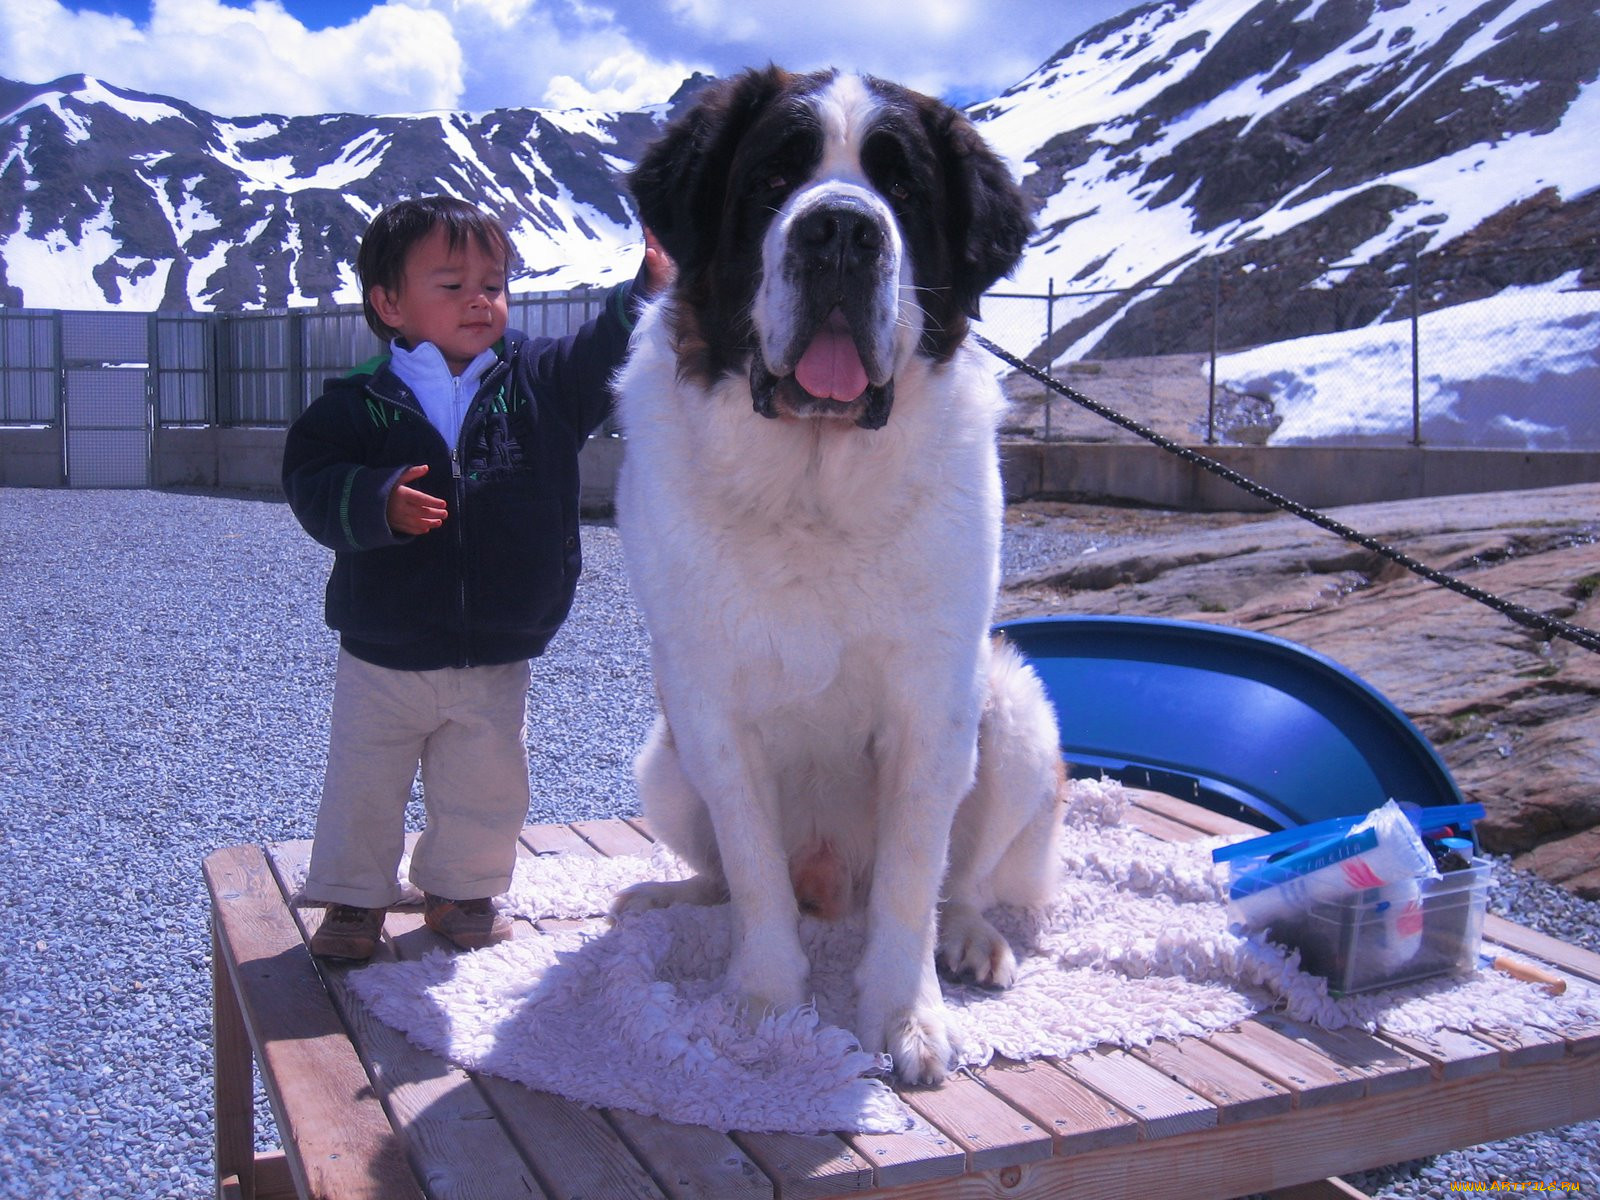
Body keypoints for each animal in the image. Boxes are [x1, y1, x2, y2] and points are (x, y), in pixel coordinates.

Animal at [604, 68, 1068, 1088]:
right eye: (775, 179)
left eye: (903, 191)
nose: (844, 232)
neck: (813, 486)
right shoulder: (709, 706)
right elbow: (753, 869)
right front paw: (762, 1002)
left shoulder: (933, 705)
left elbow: (911, 877)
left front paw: (905, 1017)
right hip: (661, 757)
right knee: (724, 873)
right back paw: (674, 903)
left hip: (1016, 716)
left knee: (964, 879)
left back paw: (969, 939)